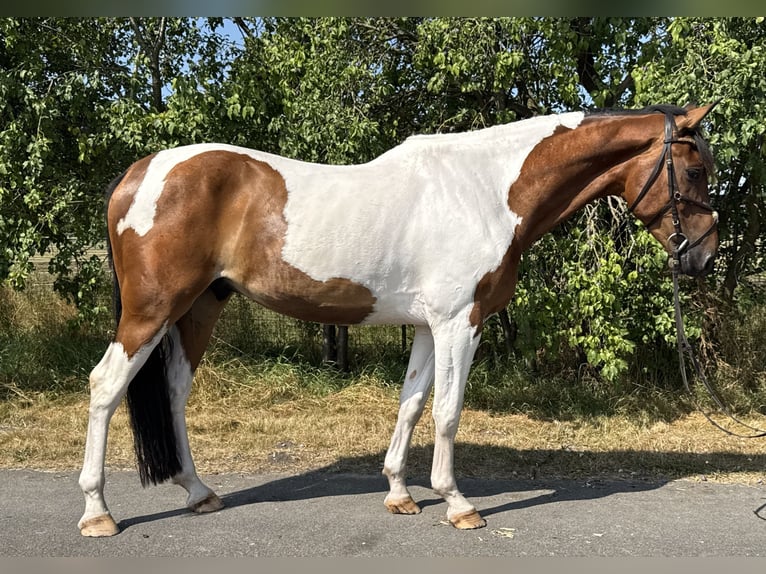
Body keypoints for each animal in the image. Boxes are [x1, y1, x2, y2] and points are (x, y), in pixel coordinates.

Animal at [78, 103, 719, 536]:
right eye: (694, 172)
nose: (704, 256)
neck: (486, 191)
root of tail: (138, 173)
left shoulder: (430, 327)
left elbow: (411, 404)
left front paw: (399, 493)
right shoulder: (461, 322)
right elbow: (447, 412)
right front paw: (457, 504)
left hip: (199, 308)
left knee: (174, 392)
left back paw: (198, 491)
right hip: (153, 310)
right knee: (106, 386)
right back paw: (97, 512)